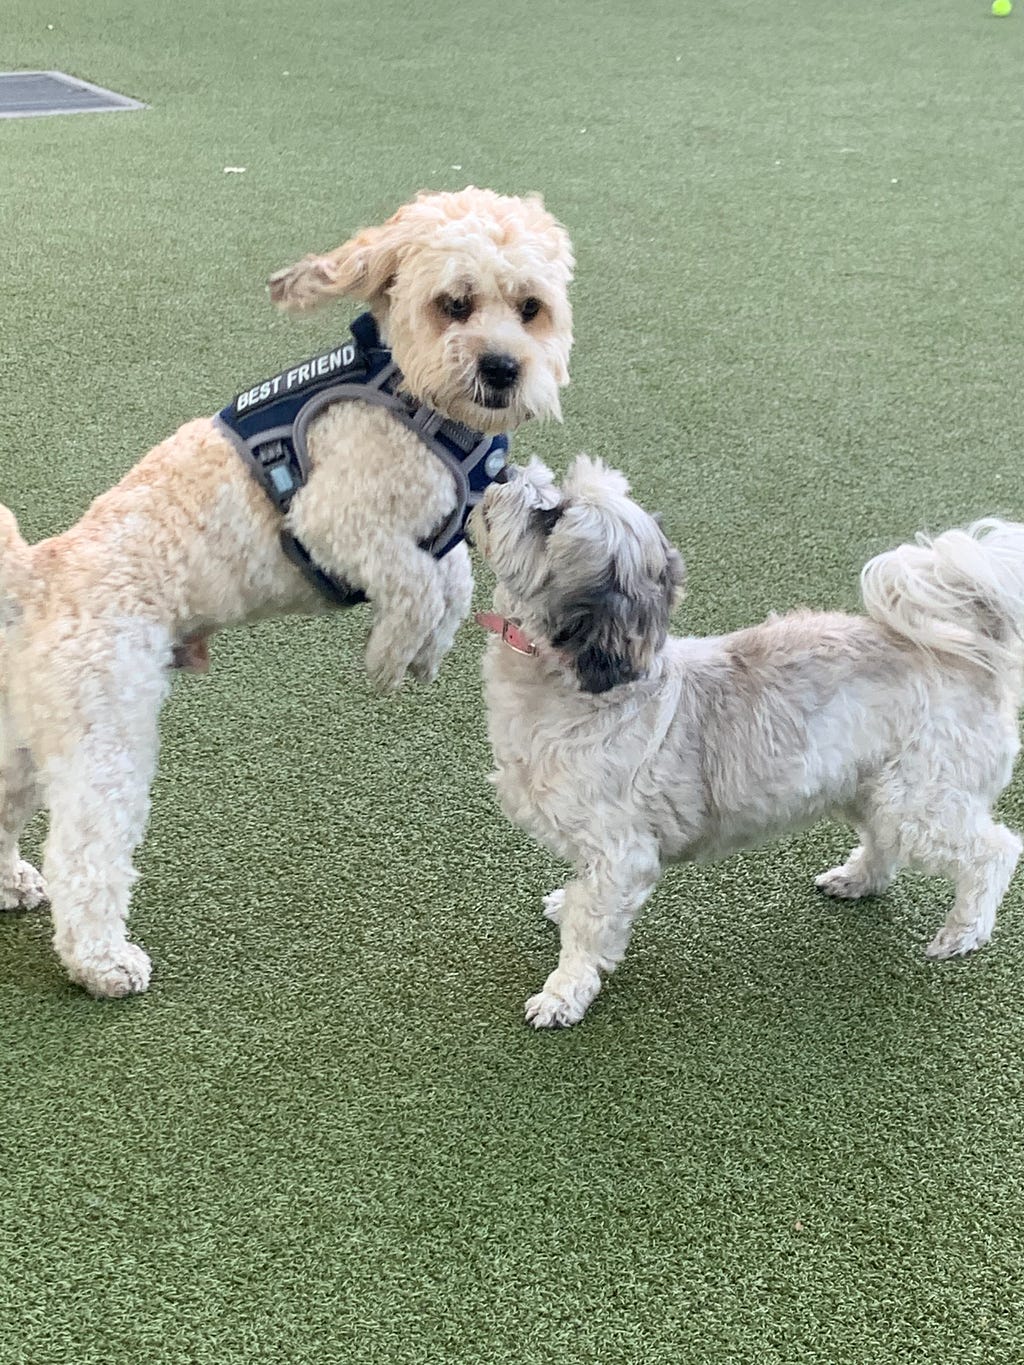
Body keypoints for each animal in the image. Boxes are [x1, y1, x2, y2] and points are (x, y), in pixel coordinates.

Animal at [0, 187, 578, 999]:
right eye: (454, 304)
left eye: (531, 308)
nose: (502, 368)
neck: (416, 399)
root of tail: (39, 570)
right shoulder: (331, 520)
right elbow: (416, 581)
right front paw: (390, 656)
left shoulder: (440, 527)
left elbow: (453, 578)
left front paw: (426, 653)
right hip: (101, 731)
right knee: (86, 852)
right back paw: (104, 960)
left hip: (28, 728)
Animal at [472, 455, 1024, 1026]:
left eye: (551, 516)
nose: (503, 470)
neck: (578, 685)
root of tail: (972, 649)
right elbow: (580, 901)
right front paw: (565, 907)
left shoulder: (619, 854)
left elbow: (588, 928)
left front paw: (562, 994)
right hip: (873, 785)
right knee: (885, 842)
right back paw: (857, 879)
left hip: (921, 799)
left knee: (995, 851)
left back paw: (964, 931)